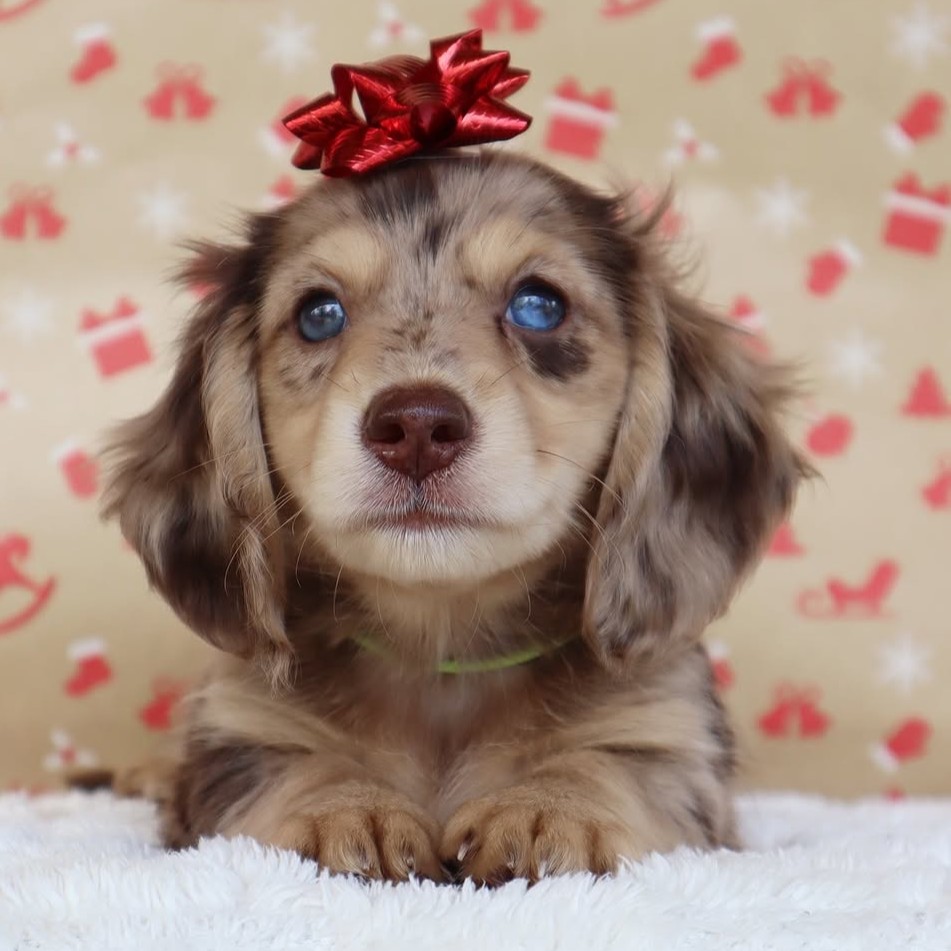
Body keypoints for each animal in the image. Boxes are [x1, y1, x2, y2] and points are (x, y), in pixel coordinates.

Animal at [100, 150, 808, 884]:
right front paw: (341, 810)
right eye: (318, 314)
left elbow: (613, 763)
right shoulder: (241, 731)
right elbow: (291, 766)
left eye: (539, 305)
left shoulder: (669, 727)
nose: (415, 426)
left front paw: (548, 808)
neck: (442, 658)